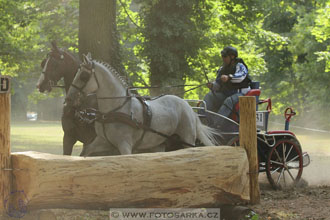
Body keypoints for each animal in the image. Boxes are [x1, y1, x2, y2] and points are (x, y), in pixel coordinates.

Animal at [65, 54, 218, 156]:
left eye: (83, 76)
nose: (69, 98)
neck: (115, 109)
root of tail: (188, 107)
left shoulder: (125, 145)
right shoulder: (103, 141)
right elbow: (86, 151)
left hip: (187, 139)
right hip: (159, 143)